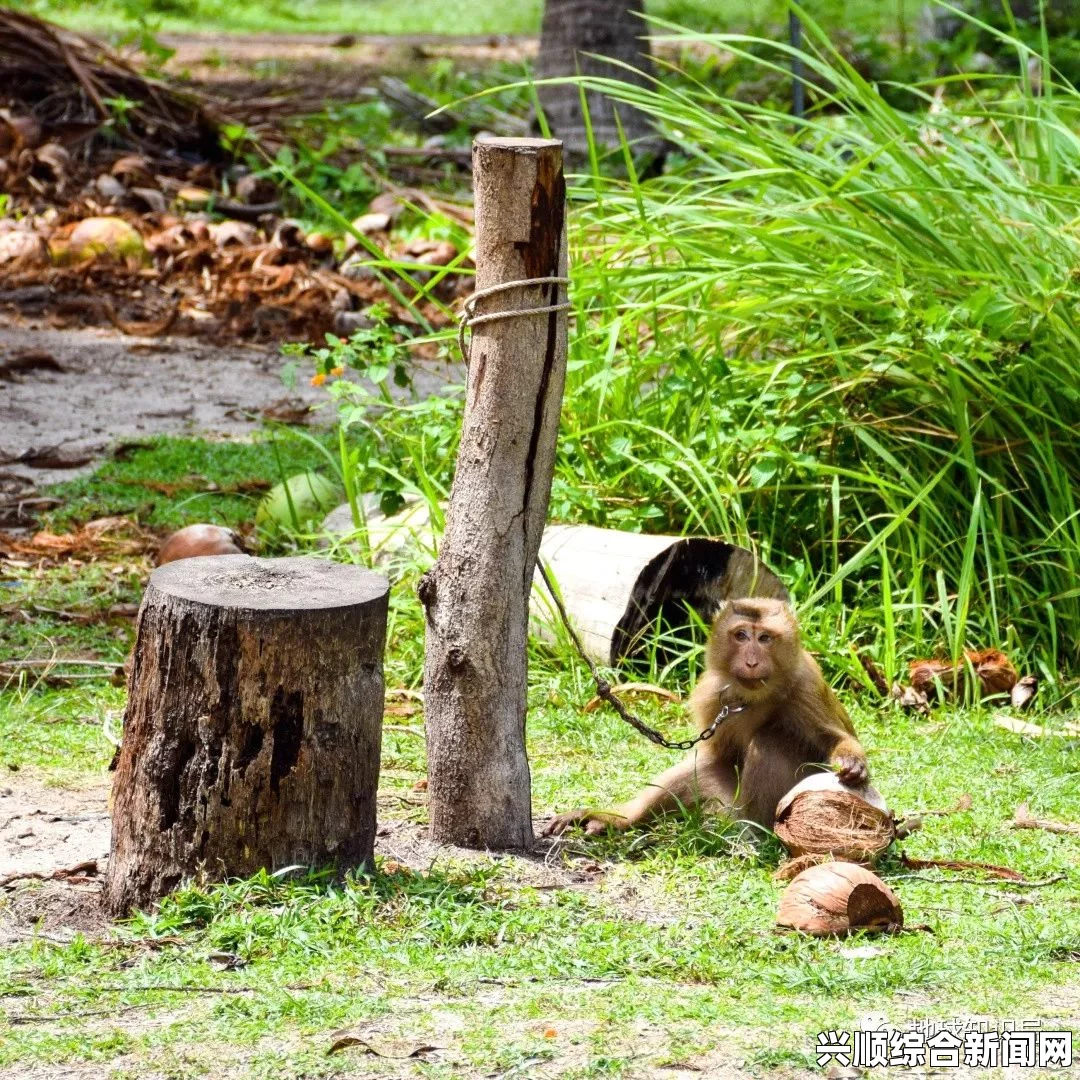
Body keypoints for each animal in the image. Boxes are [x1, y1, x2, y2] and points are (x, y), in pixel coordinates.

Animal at [544, 600, 872, 833]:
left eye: (765, 638)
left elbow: (835, 737)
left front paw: (852, 762)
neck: (755, 696)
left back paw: (754, 828)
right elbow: (716, 756)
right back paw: (619, 819)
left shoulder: (806, 685)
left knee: (772, 738)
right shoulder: (711, 694)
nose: (751, 662)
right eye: (741, 635)